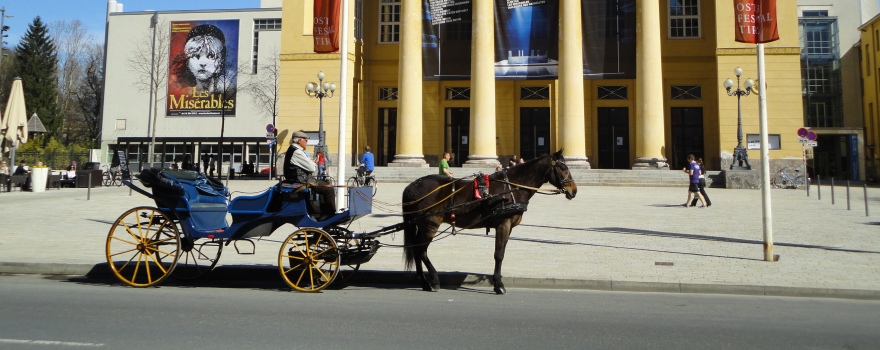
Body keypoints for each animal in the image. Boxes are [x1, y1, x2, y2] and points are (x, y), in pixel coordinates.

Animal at [400, 149, 576, 294]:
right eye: (563, 167)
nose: (574, 190)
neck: (511, 188)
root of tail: (411, 186)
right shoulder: (503, 224)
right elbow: (499, 255)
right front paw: (498, 284)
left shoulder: (509, 227)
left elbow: (501, 252)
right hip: (430, 224)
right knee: (421, 250)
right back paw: (434, 280)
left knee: (416, 249)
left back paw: (424, 282)